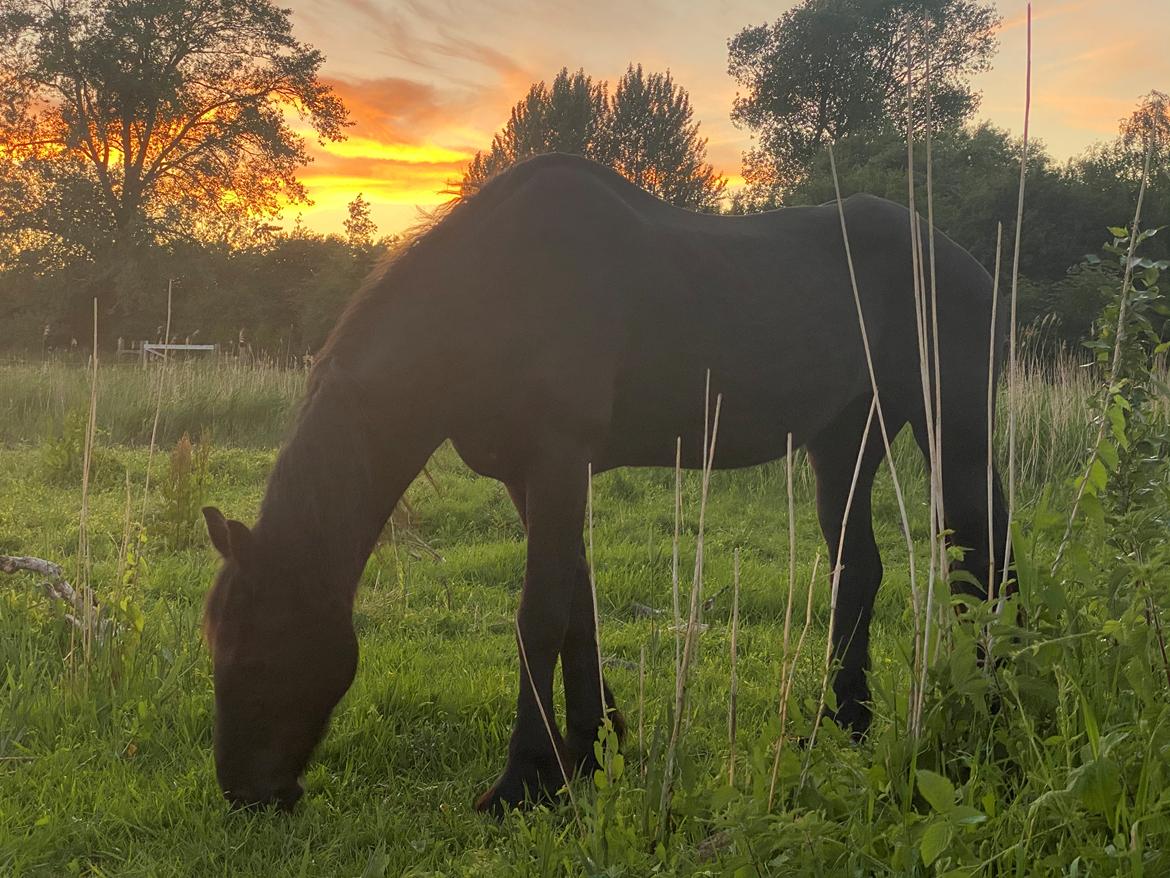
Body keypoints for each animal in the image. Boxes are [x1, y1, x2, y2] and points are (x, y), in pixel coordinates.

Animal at [198, 149, 1006, 810]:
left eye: (258, 652)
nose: (246, 792)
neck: (489, 295)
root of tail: (966, 261)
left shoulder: (559, 460)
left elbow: (538, 614)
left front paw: (523, 778)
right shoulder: (533, 478)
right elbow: (576, 607)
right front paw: (591, 751)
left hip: (953, 424)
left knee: (982, 557)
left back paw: (990, 716)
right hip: (845, 440)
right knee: (858, 568)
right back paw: (843, 727)